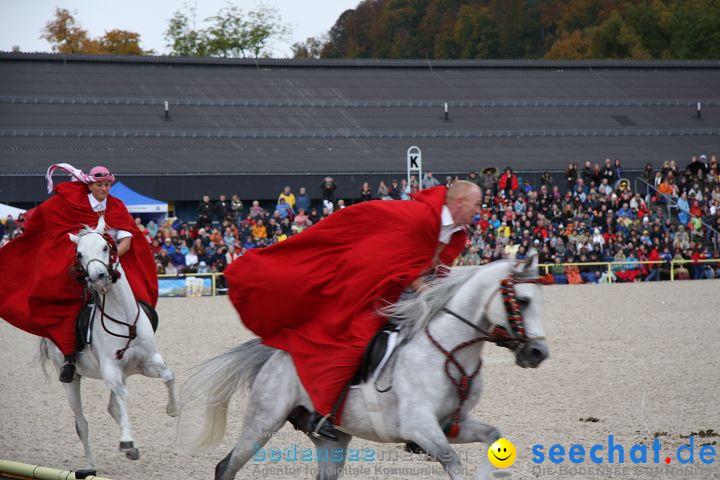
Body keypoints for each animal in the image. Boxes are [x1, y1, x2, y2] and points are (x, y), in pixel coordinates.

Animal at [39, 219, 177, 474]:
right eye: (79, 254)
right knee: (82, 423)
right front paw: (127, 441)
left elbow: (169, 376)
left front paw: (172, 409)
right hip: (71, 379)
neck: (123, 318)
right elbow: (123, 397)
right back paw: (90, 466)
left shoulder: (147, 363)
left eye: (105, 246)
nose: (98, 277)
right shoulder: (111, 370)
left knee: (113, 407)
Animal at [177, 253, 548, 478]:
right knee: (226, 467)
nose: (538, 353)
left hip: (333, 441)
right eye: (523, 300)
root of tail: (275, 354)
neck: (448, 351)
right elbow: (454, 465)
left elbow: (493, 436)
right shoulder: (422, 429)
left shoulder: (452, 425)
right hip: (263, 422)